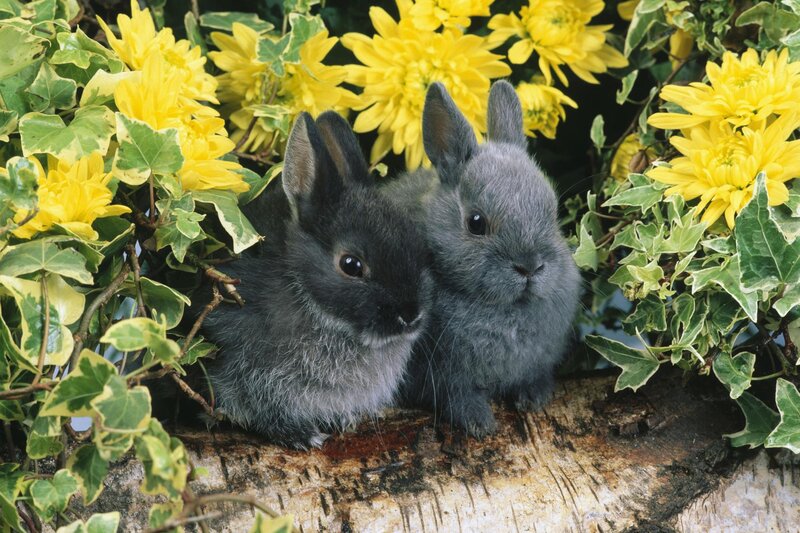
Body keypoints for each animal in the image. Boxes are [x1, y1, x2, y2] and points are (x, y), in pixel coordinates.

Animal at [396, 81, 581, 438]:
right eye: (476, 223)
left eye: (552, 211)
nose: (530, 266)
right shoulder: (440, 376)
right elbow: (456, 396)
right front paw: (479, 423)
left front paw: (533, 399)